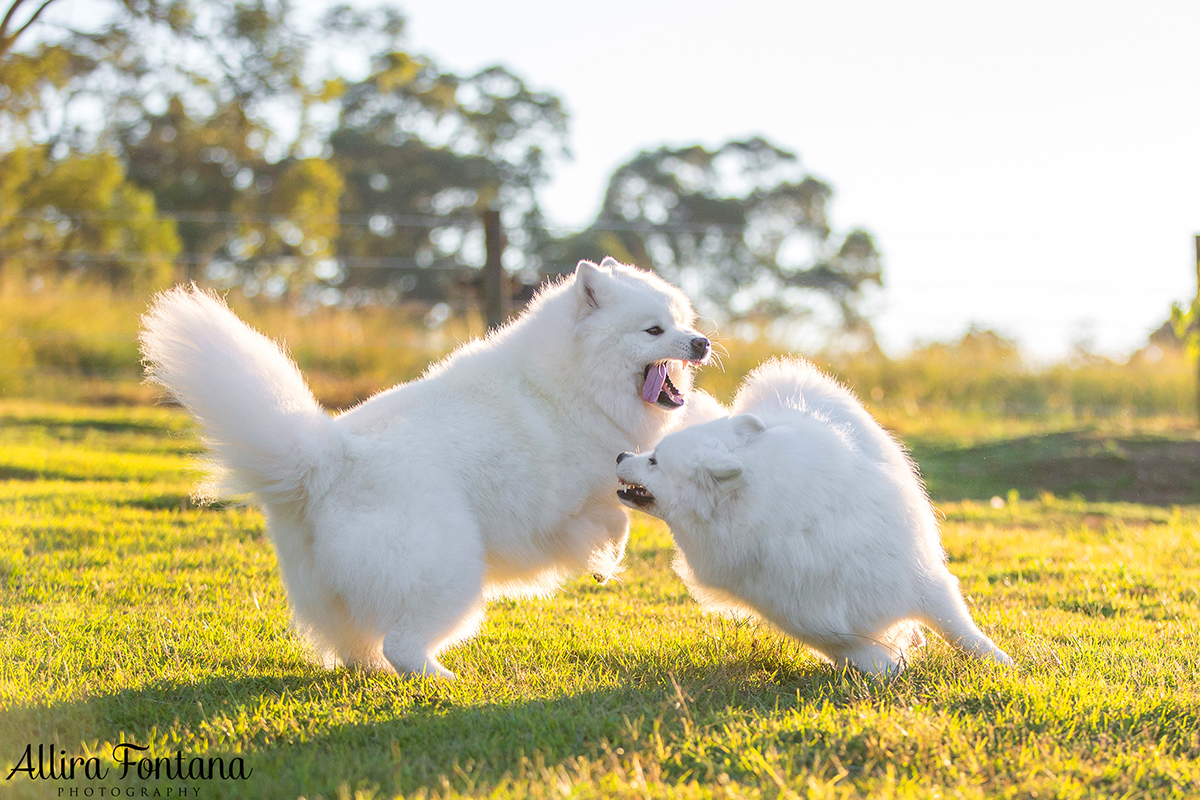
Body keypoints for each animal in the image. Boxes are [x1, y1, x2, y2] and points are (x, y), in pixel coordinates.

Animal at [138, 260, 710, 681]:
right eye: (654, 330)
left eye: (684, 321)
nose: (702, 342)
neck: (570, 384)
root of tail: (325, 462)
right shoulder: (571, 499)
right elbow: (614, 517)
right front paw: (606, 561)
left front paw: (606, 560)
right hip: (449, 575)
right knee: (402, 645)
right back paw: (445, 680)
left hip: (343, 597)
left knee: (359, 648)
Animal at [619, 359, 1012, 681]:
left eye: (654, 460)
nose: (621, 455)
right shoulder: (811, 617)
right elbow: (863, 655)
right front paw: (885, 667)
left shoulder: (922, 581)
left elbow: (961, 630)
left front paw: (1002, 663)